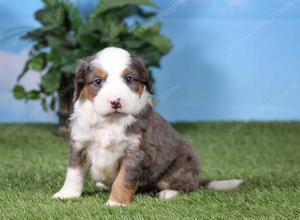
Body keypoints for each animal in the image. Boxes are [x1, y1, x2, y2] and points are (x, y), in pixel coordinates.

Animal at [52, 46, 243, 206]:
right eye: (97, 81)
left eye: (129, 79)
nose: (115, 102)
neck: (110, 121)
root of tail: (197, 177)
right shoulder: (80, 144)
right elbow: (73, 173)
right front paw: (66, 194)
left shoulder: (135, 152)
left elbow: (123, 180)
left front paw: (116, 203)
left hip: (180, 168)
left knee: (187, 187)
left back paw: (167, 193)